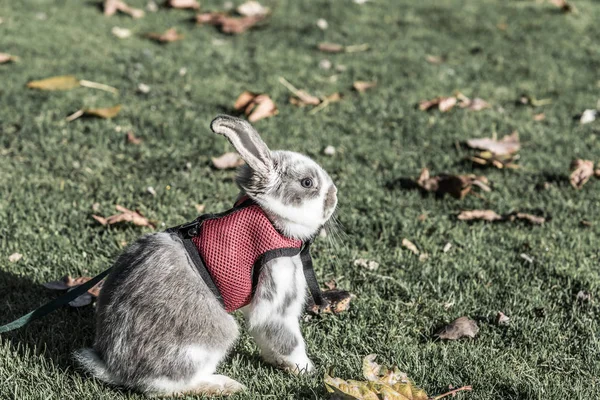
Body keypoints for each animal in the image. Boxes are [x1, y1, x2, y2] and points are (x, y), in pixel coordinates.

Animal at [74, 114, 338, 396]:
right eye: (307, 183)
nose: (334, 196)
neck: (271, 219)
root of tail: (116, 369)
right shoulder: (277, 297)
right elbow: (284, 337)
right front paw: (304, 368)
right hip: (212, 338)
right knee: (164, 386)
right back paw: (224, 384)